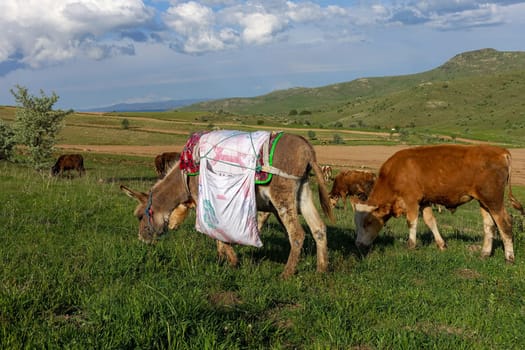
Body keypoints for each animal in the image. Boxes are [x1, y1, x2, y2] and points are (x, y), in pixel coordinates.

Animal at [121, 131, 334, 278]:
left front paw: (231, 260)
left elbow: (214, 230)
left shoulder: (202, 199)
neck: (184, 175)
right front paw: (222, 258)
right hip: (302, 193)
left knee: (297, 234)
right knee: (318, 228)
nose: (142, 240)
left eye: (139, 217)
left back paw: (286, 274)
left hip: (282, 195)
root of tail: (306, 148)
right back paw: (321, 270)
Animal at [354, 144, 520, 262]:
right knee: (489, 225)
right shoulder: (425, 201)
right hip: (484, 202)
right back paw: (484, 253)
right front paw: (442, 245)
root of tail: (501, 151)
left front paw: (411, 246)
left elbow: (411, 222)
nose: (358, 245)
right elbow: (430, 221)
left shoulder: (411, 200)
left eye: (367, 223)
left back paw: (509, 257)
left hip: (494, 200)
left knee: (504, 223)